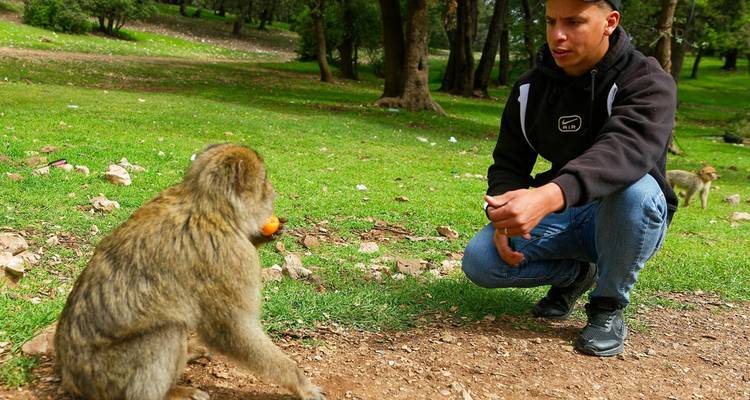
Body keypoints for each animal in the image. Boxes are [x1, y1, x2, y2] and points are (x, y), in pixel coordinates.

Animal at [54, 144, 325, 400]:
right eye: (264, 182)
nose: (272, 192)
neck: (208, 206)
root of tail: (70, 378)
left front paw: (262, 235)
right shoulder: (227, 257)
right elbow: (231, 331)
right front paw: (301, 383)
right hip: (108, 375)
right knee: (166, 332)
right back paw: (169, 393)